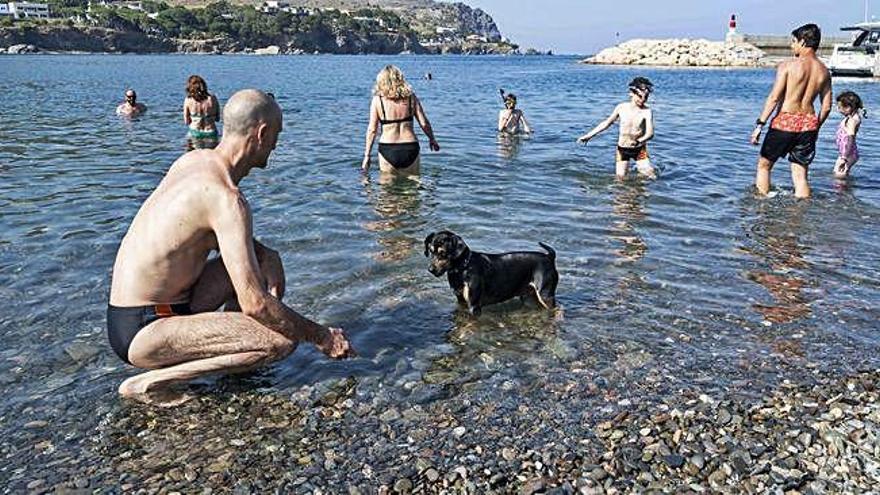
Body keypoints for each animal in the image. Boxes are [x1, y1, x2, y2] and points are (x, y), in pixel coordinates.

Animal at [424, 231, 560, 316]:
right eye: (430, 251)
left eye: (443, 253)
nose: (430, 269)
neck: (463, 268)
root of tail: (549, 257)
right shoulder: (461, 302)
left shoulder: (474, 305)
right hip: (529, 297)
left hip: (545, 294)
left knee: (558, 309)